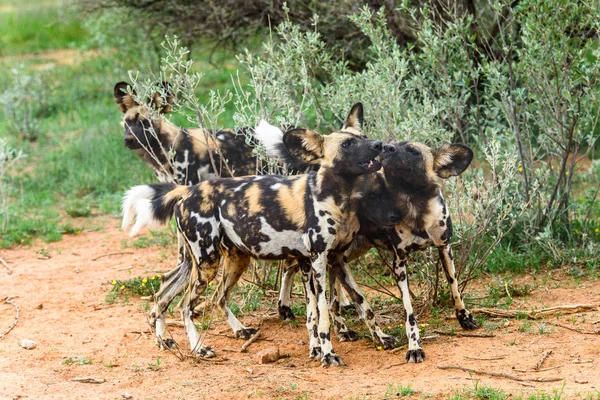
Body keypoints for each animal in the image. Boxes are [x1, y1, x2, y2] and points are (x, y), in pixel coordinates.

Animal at [122, 103, 384, 366]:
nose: (379, 145)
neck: (340, 198)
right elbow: (322, 316)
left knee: (173, 292)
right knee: (185, 306)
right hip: (207, 265)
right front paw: (328, 353)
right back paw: (199, 348)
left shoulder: (335, 259)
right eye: (347, 144)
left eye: (363, 137)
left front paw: (379, 339)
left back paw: (173, 339)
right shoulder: (318, 262)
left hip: (217, 262)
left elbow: (358, 303)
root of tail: (186, 190)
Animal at [272, 137, 478, 362]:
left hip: (347, 251)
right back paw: (287, 308)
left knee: (328, 292)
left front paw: (464, 317)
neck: (414, 204)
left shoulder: (444, 247)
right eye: (394, 143)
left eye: (413, 151)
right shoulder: (399, 262)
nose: (386, 147)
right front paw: (414, 347)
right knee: (293, 268)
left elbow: (455, 287)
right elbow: (409, 313)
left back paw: (340, 327)